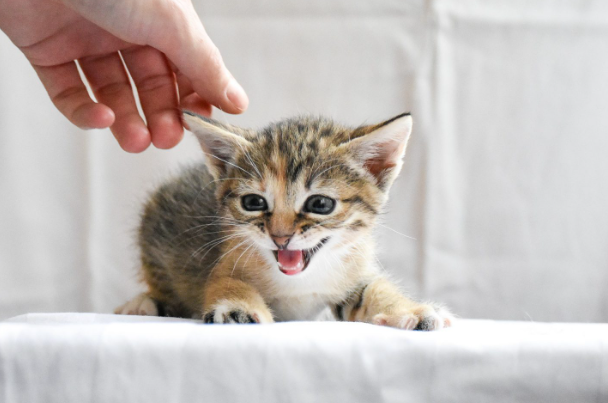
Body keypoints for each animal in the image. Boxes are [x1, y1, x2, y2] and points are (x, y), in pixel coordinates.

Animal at [116, 111, 454, 332]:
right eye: (253, 203)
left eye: (320, 204)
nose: (280, 237)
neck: (301, 282)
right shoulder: (227, 258)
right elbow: (225, 281)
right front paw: (238, 307)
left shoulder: (354, 272)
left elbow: (374, 287)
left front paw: (410, 310)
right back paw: (142, 304)